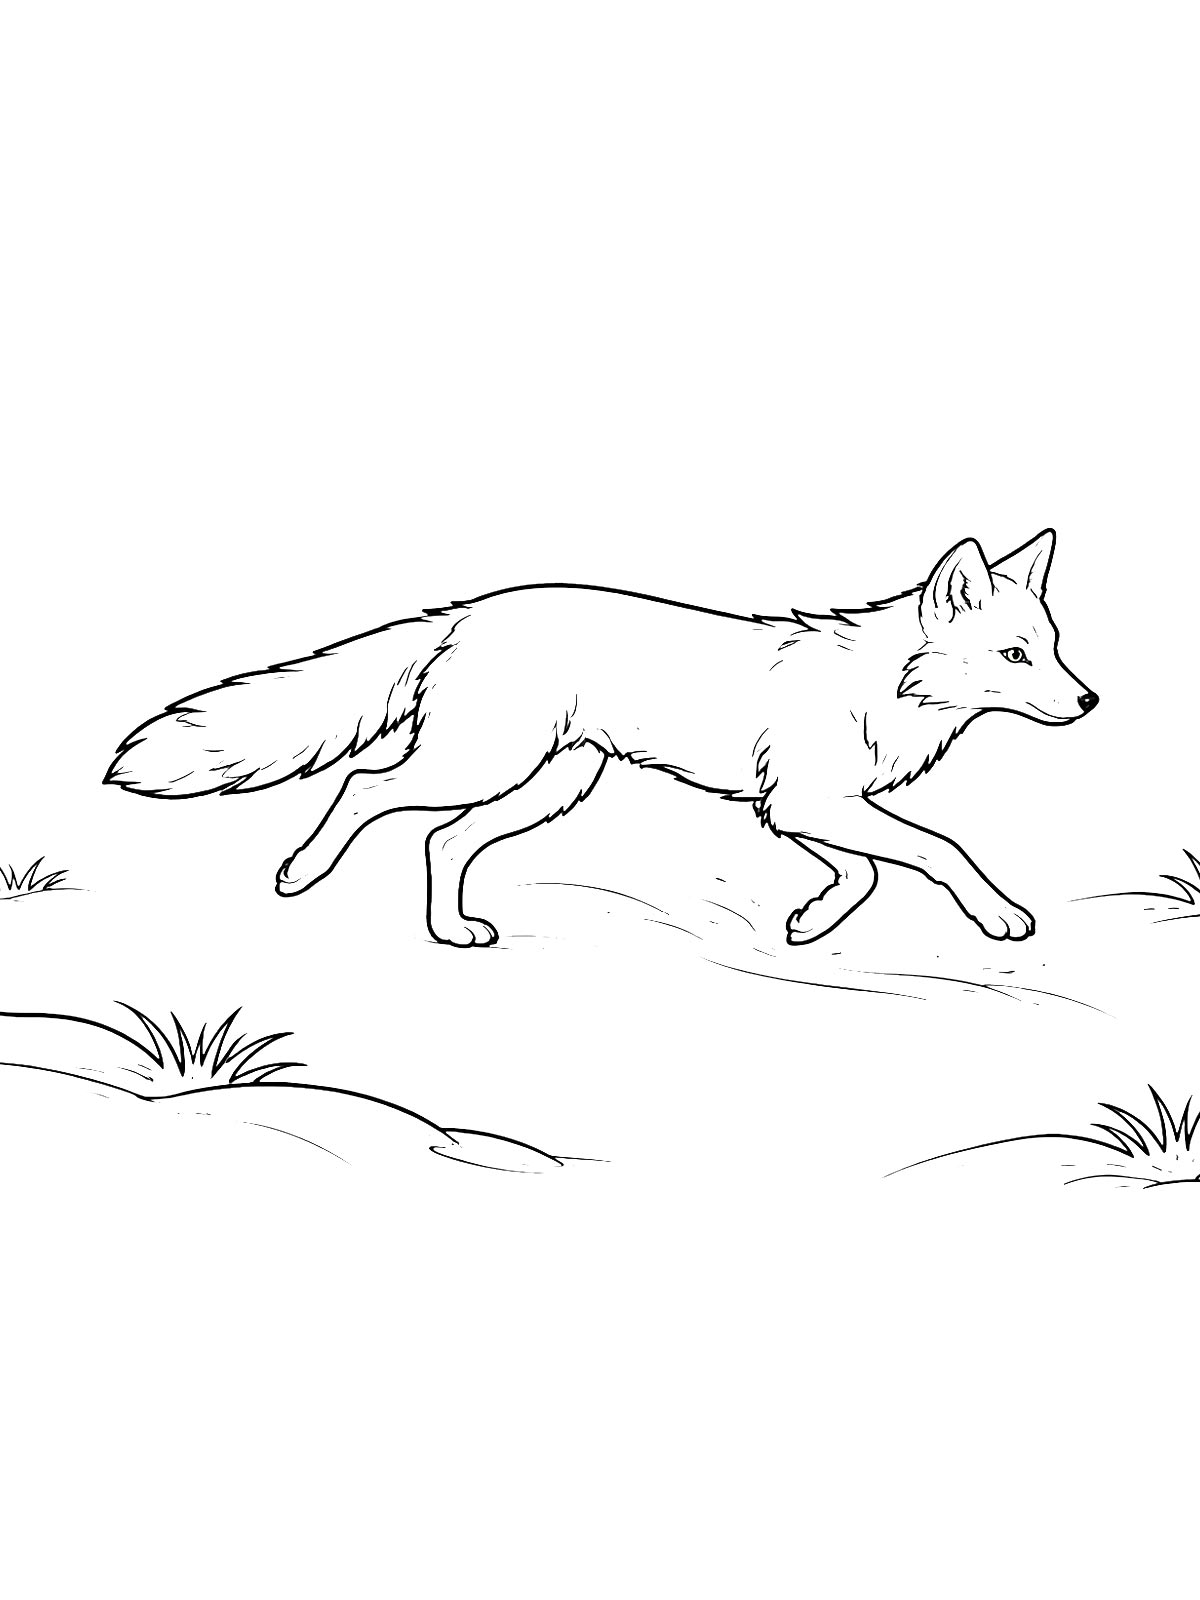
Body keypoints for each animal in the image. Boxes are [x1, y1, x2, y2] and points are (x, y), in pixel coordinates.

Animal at [106, 529, 1096, 948]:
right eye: (1015, 654)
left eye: (1051, 648)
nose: (1090, 702)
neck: (881, 690)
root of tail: (466, 613)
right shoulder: (813, 804)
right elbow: (940, 851)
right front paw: (1002, 916)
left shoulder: (797, 809)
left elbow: (864, 875)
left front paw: (807, 925)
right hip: (478, 768)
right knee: (365, 788)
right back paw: (301, 873)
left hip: (547, 788)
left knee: (441, 840)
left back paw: (450, 931)